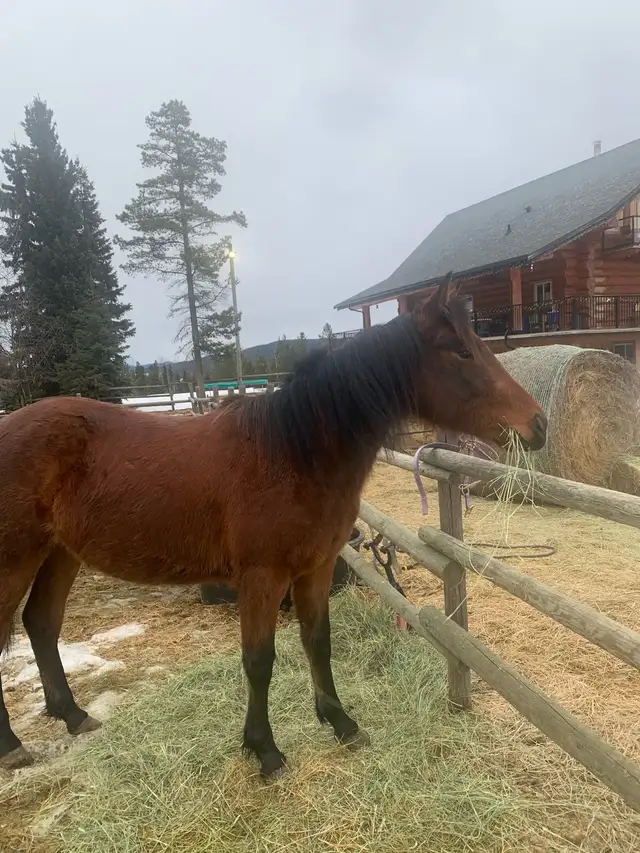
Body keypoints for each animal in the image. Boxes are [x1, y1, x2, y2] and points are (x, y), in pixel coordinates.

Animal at [0, 280, 547, 779]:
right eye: (461, 351)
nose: (538, 424)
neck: (292, 453)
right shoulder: (262, 578)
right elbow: (259, 660)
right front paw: (264, 750)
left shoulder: (316, 569)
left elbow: (317, 641)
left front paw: (341, 723)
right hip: (16, 559)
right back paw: (13, 745)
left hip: (61, 554)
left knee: (41, 624)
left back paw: (73, 716)